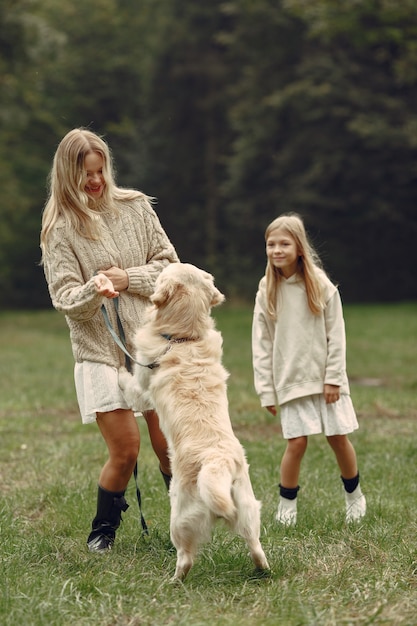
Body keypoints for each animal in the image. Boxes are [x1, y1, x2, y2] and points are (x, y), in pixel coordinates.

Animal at [119, 262, 270, 580]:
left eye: (166, 272)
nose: (164, 262)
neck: (184, 337)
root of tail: (217, 461)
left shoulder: (142, 385)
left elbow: (128, 382)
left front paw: (117, 373)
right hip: (248, 506)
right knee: (255, 543)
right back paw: (262, 569)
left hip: (180, 515)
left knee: (185, 556)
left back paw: (174, 580)